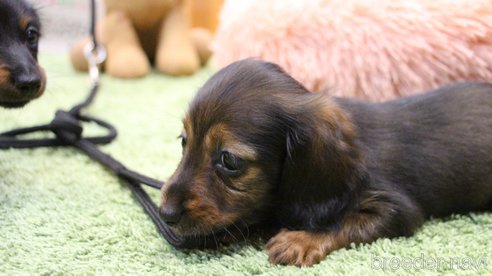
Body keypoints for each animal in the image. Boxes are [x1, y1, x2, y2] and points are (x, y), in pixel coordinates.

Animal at [160, 59, 492, 266]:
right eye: (183, 141)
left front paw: (300, 240)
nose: (165, 214)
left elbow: (343, 221)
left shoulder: (397, 208)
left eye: (229, 159)